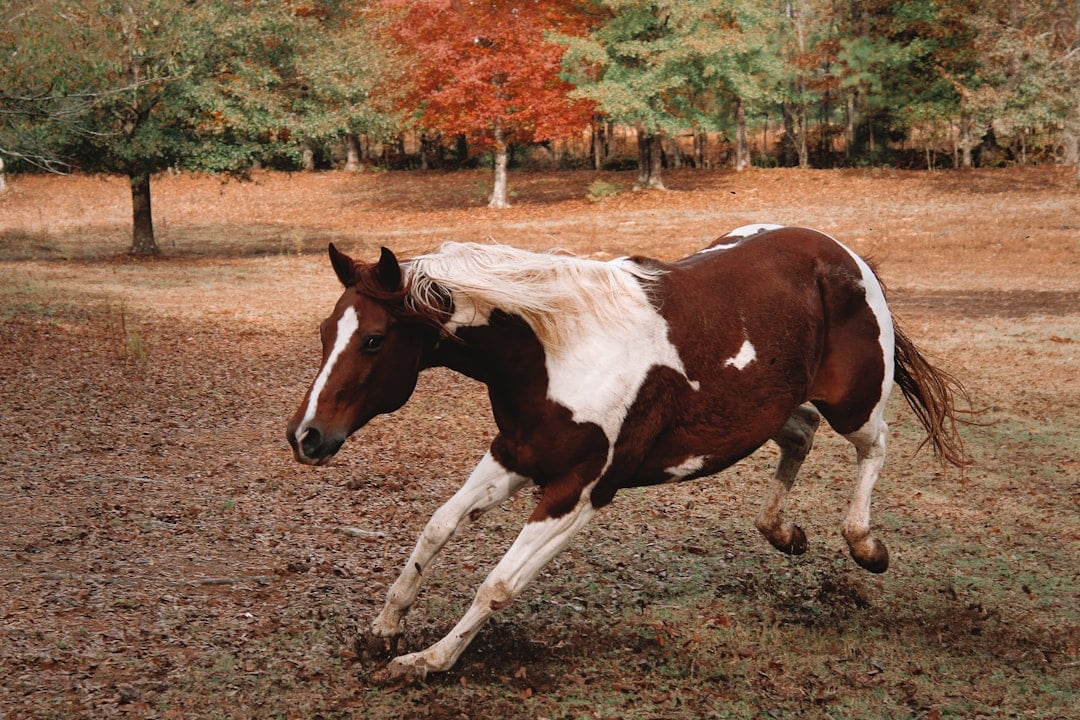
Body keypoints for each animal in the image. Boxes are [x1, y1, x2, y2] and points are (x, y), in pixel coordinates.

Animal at [286, 223, 968, 679]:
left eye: (374, 340)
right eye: (325, 331)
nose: (305, 436)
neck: (555, 350)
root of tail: (845, 255)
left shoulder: (580, 491)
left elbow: (498, 585)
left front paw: (427, 659)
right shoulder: (514, 456)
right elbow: (435, 529)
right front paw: (382, 631)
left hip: (854, 402)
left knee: (875, 446)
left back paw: (865, 545)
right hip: (770, 406)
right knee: (799, 432)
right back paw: (782, 531)